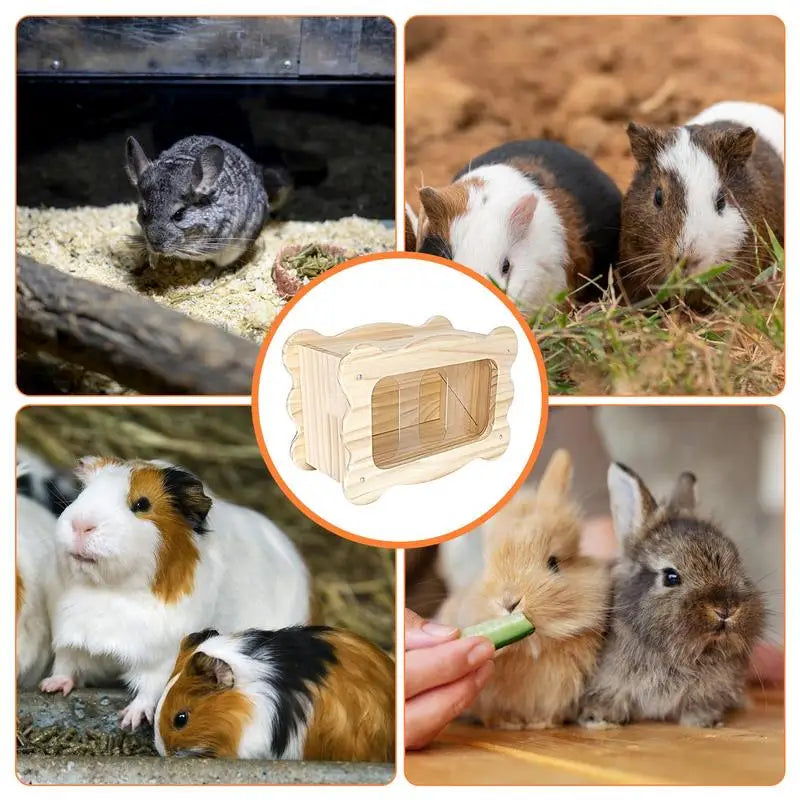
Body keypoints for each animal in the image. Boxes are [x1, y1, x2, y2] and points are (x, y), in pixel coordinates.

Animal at [39, 456, 310, 730]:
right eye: (82, 494)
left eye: (142, 504)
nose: (81, 525)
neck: (107, 590)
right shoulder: (71, 638)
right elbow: (66, 665)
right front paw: (50, 687)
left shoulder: (162, 656)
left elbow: (150, 689)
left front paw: (130, 719)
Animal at [438, 449, 611, 729]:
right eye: (486, 564)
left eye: (553, 563)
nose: (509, 602)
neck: (532, 647)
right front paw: (507, 724)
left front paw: (542, 724)